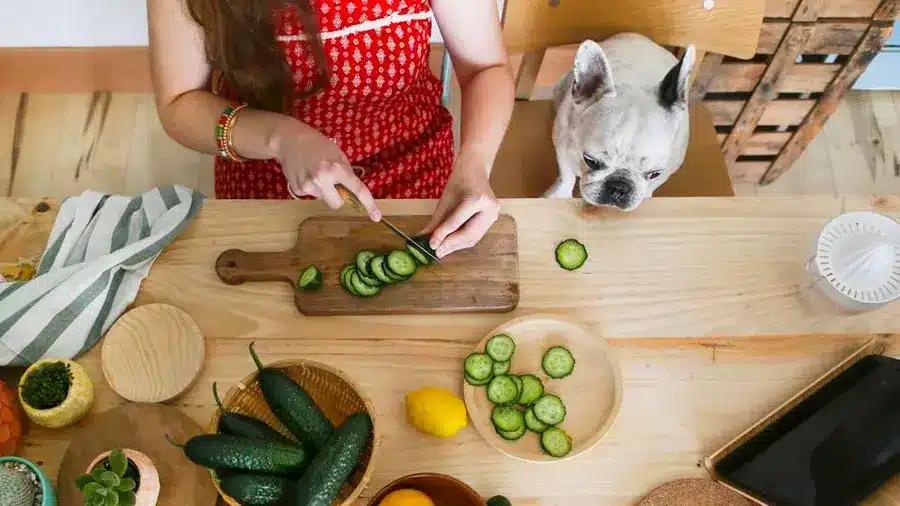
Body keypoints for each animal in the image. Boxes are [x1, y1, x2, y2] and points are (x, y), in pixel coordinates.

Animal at [540, 33, 696, 211]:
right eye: (591, 161)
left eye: (654, 174)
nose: (619, 187)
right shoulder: (562, 146)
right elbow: (567, 174)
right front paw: (559, 194)